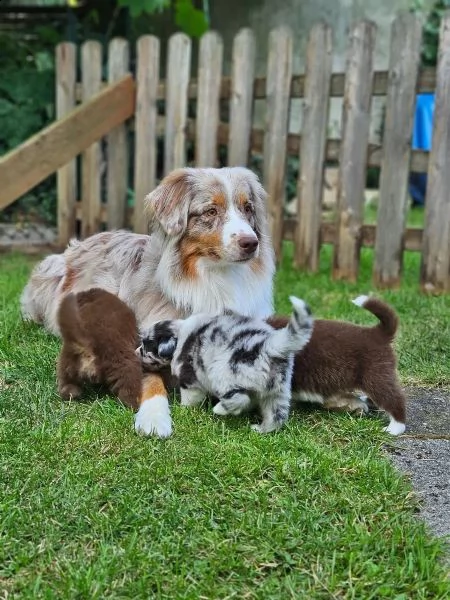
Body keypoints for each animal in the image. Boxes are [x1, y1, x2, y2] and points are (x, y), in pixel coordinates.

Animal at [139, 298, 314, 434]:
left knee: (239, 399)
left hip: (222, 375)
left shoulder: (190, 379)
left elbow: (190, 398)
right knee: (277, 416)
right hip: (278, 392)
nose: (136, 352)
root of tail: (269, 347)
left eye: (146, 346)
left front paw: (183, 410)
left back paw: (219, 409)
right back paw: (261, 429)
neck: (180, 333)